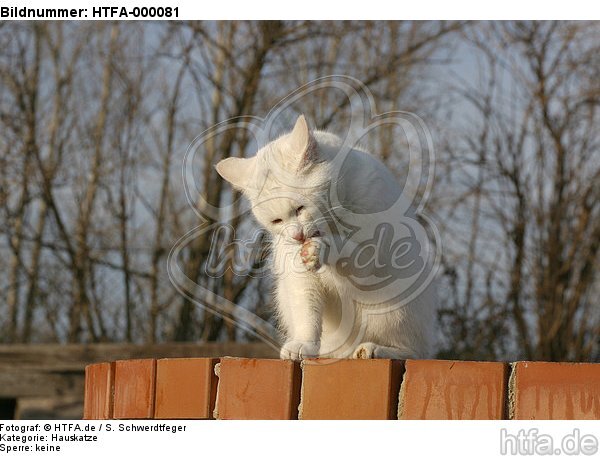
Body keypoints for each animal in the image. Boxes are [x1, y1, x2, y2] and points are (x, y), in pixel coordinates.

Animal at [216, 115, 436, 360]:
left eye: (300, 209)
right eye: (277, 221)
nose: (297, 236)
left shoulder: (373, 257)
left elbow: (350, 251)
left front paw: (320, 248)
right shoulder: (298, 276)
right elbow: (306, 313)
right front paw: (303, 344)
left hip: (397, 306)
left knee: (415, 350)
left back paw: (374, 349)